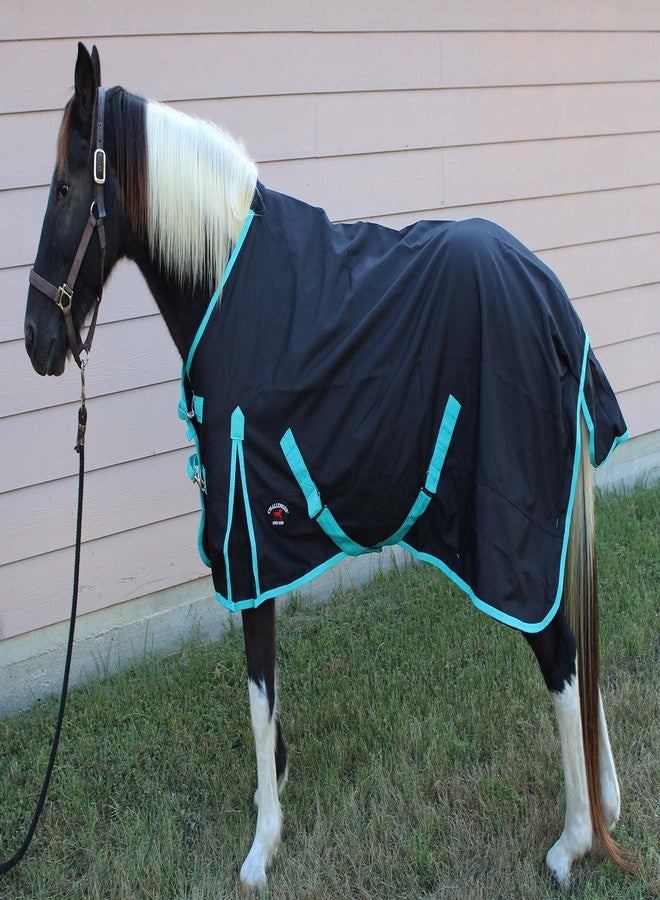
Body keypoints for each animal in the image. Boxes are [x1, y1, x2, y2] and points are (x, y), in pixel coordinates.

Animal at [24, 44, 633, 890]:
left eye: (62, 188)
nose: (36, 341)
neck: (232, 284)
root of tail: (550, 299)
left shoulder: (248, 533)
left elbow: (257, 683)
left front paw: (262, 845)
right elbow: (265, 688)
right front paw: (273, 789)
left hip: (511, 544)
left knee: (563, 657)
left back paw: (574, 839)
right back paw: (608, 804)